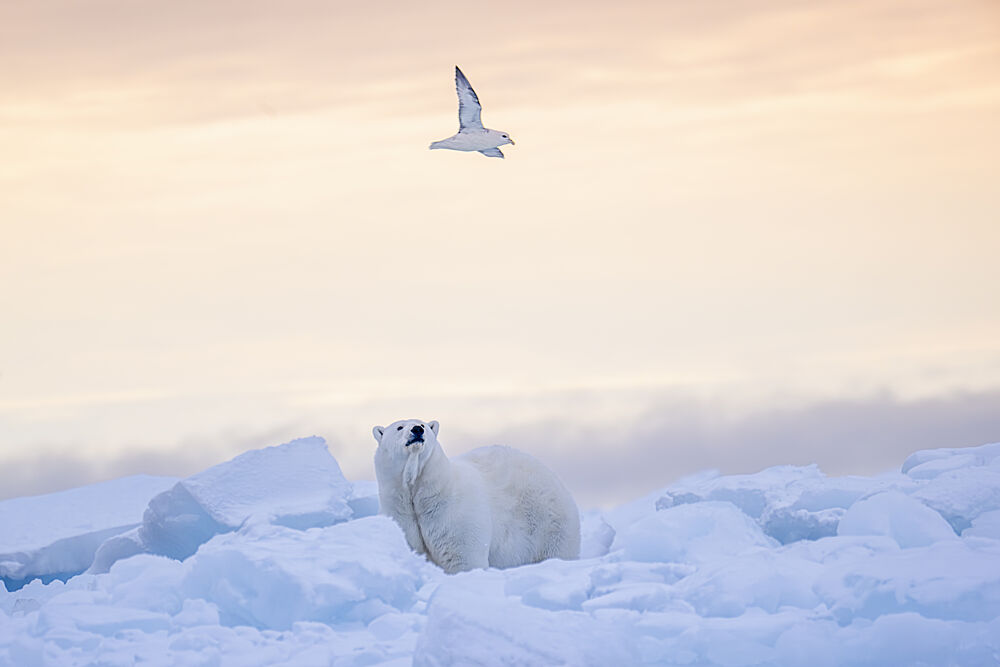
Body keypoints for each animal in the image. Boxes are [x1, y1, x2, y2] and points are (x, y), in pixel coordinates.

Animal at [372, 419, 581, 574]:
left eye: (423, 424)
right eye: (399, 427)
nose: (417, 430)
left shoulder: (454, 515)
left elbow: (463, 558)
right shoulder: (401, 513)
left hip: (550, 525)